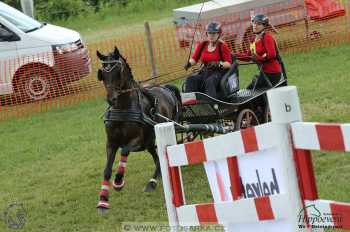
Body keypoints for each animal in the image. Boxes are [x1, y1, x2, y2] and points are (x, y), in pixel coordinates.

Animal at [97, 46, 182, 210]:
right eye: (102, 74)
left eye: (118, 72)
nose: (111, 99)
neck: (123, 109)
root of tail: (165, 88)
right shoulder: (111, 142)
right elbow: (106, 170)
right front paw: (103, 200)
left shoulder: (137, 141)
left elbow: (124, 150)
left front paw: (118, 181)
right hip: (151, 140)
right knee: (156, 156)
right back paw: (157, 177)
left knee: (161, 155)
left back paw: (152, 182)